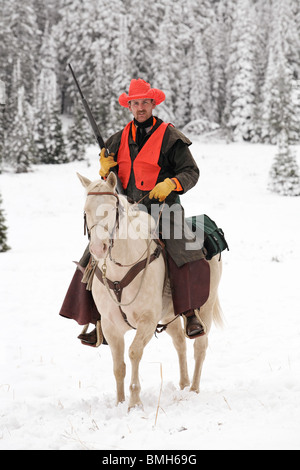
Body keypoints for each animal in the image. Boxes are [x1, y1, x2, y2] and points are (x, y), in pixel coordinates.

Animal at [77, 172, 223, 408]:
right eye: (86, 211)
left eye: (112, 209)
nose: (99, 248)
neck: (119, 272)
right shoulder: (110, 327)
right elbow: (118, 367)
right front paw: (120, 402)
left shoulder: (147, 320)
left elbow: (134, 352)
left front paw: (134, 402)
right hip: (170, 315)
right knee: (180, 343)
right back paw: (183, 384)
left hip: (206, 308)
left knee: (200, 346)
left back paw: (193, 389)